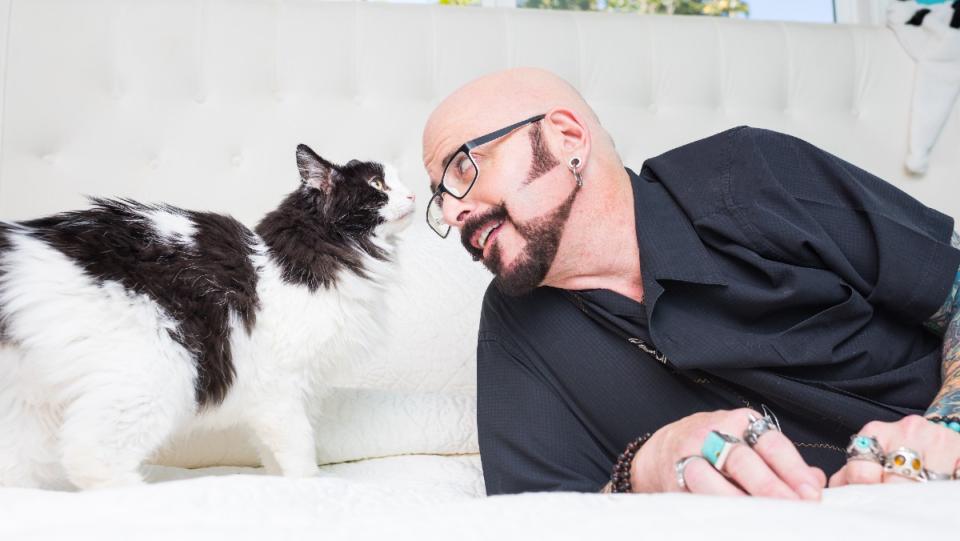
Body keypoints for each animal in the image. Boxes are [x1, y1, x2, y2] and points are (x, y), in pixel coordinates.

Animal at [0, 144, 410, 490]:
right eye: (377, 184)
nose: (412, 195)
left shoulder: (289, 394)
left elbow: (273, 454)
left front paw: (279, 485)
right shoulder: (282, 388)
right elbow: (299, 449)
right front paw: (311, 488)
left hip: (30, 407)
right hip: (157, 373)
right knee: (89, 456)